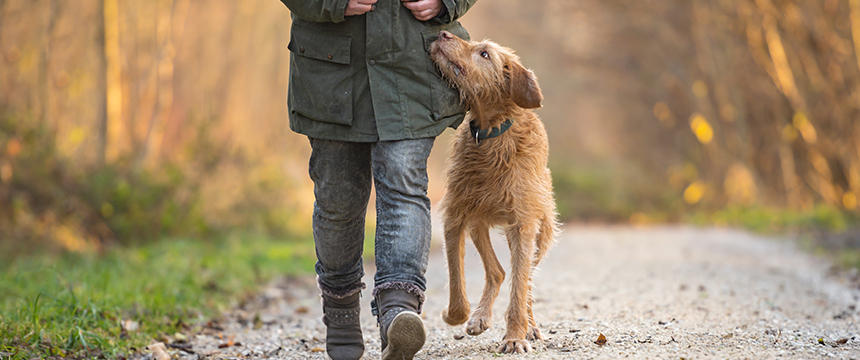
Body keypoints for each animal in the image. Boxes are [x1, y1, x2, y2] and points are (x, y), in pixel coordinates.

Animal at [430, 31, 556, 354]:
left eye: (484, 54)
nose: (443, 33)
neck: (491, 134)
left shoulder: (524, 224)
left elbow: (519, 288)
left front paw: (515, 337)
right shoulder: (456, 216)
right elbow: (456, 285)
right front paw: (457, 315)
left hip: (541, 232)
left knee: (524, 281)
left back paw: (530, 326)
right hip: (479, 223)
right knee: (498, 272)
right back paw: (480, 317)